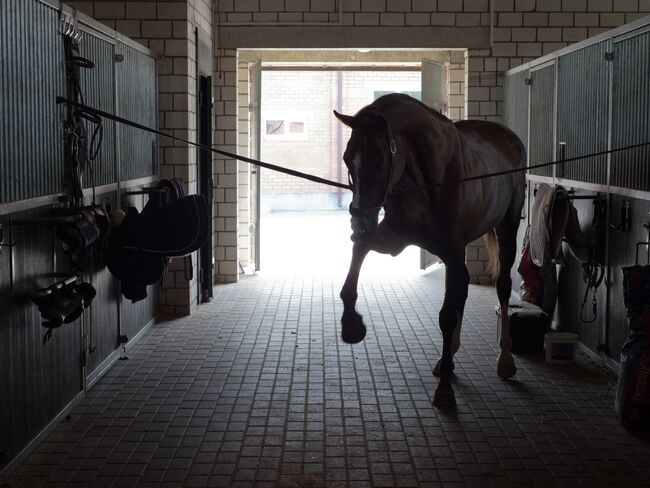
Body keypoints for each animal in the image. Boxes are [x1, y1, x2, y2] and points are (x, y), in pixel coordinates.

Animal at [334, 93, 528, 406]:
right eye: (348, 159)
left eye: (380, 164)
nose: (359, 225)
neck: (429, 180)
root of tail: (508, 137)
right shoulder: (390, 239)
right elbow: (352, 274)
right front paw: (352, 325)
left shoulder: (452, 253)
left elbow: (446, 317)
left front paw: (445, 390)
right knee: (462, 289)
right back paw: (448, 358)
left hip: (507, 228)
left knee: (501, 287)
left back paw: (505, 360)